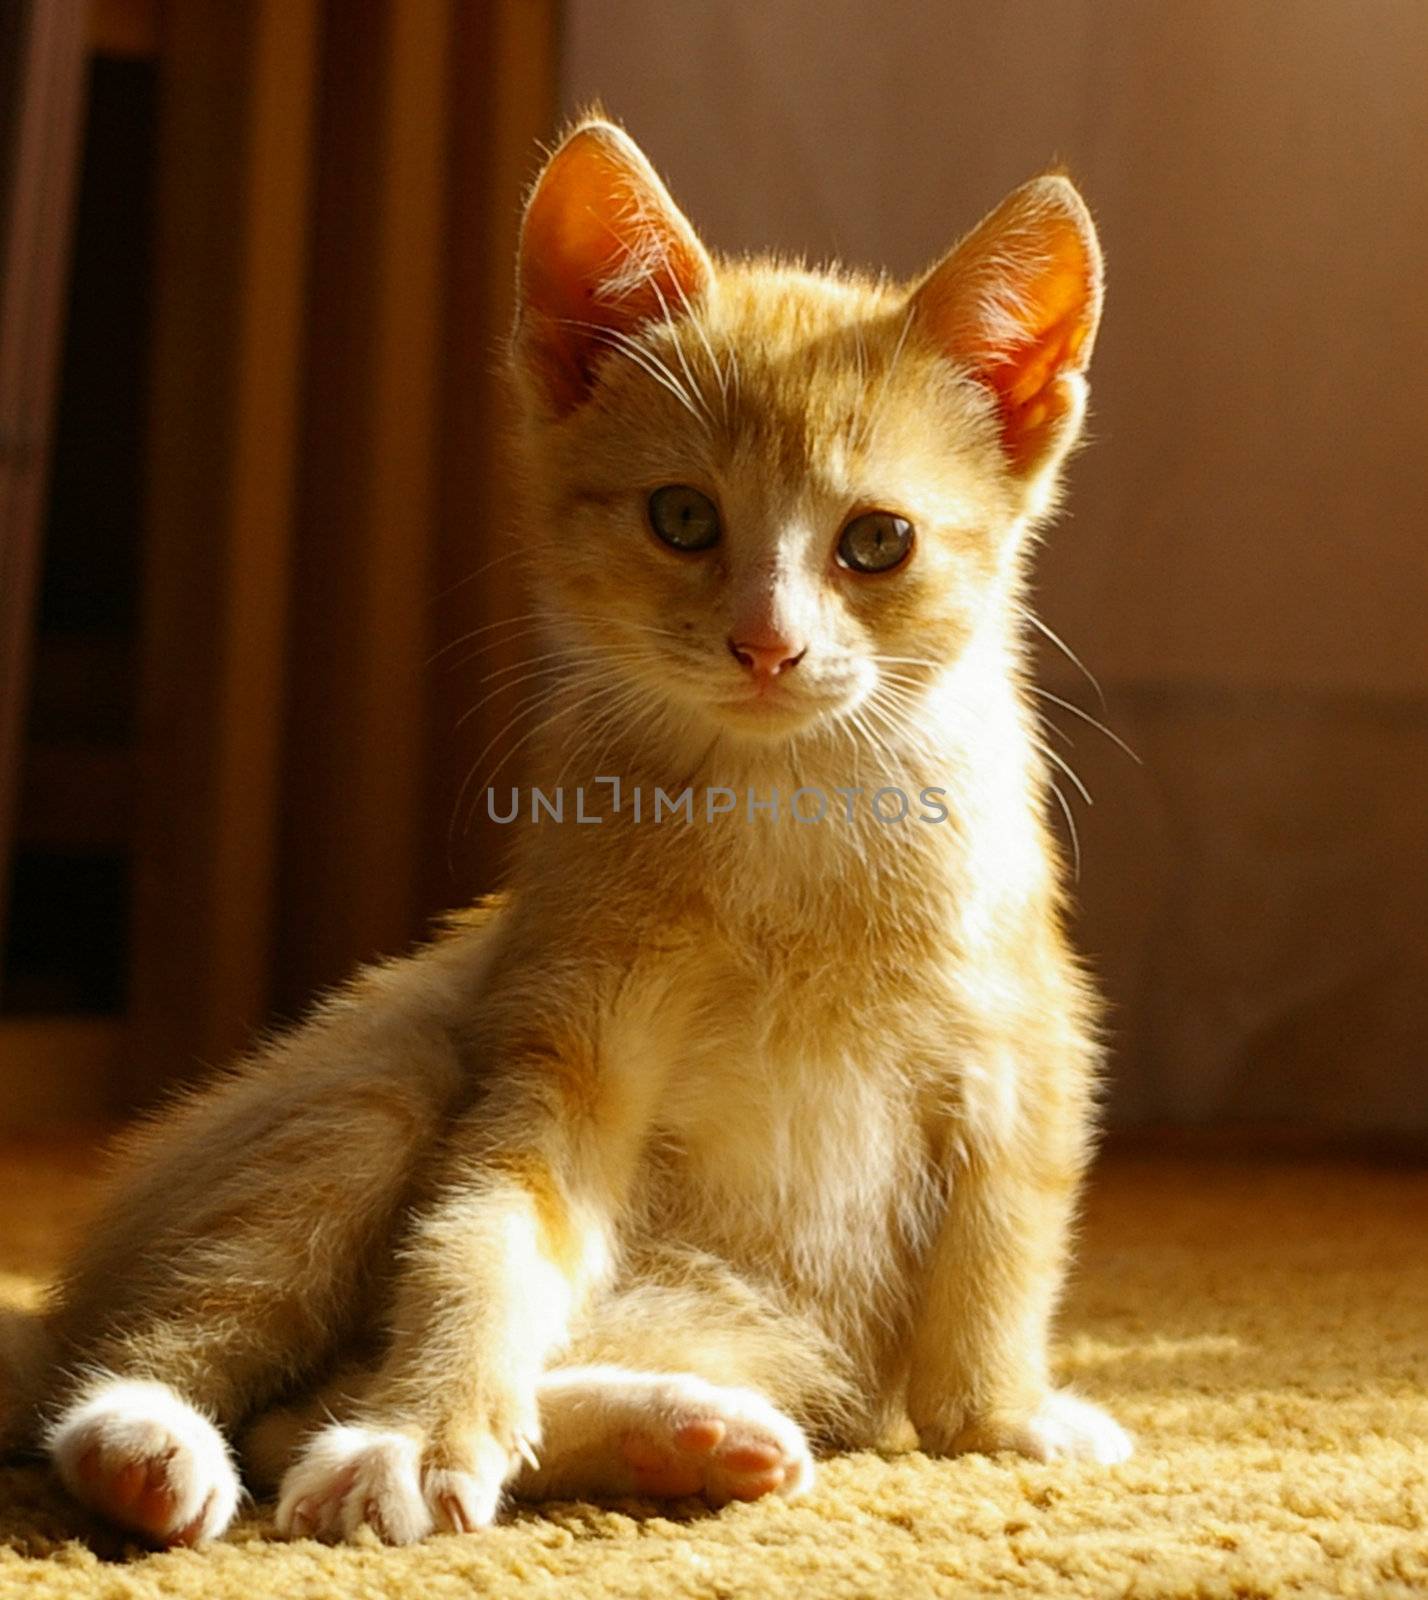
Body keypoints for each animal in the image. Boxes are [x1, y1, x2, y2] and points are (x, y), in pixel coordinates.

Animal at [5, 118, 1133, 1542]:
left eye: (878, 541)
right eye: (683, 517)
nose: (769, 645)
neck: (789, 810)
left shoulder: (1024, 1032)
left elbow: (1005, 1242)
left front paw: (998, 1415)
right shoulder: (565, 1035)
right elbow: (486, 1235)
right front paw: (427, 1426)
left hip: (753, 1313)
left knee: (305, 1408)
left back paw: (689, 1432)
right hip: (384, 1074)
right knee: (224, 1364)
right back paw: (145, 1438)